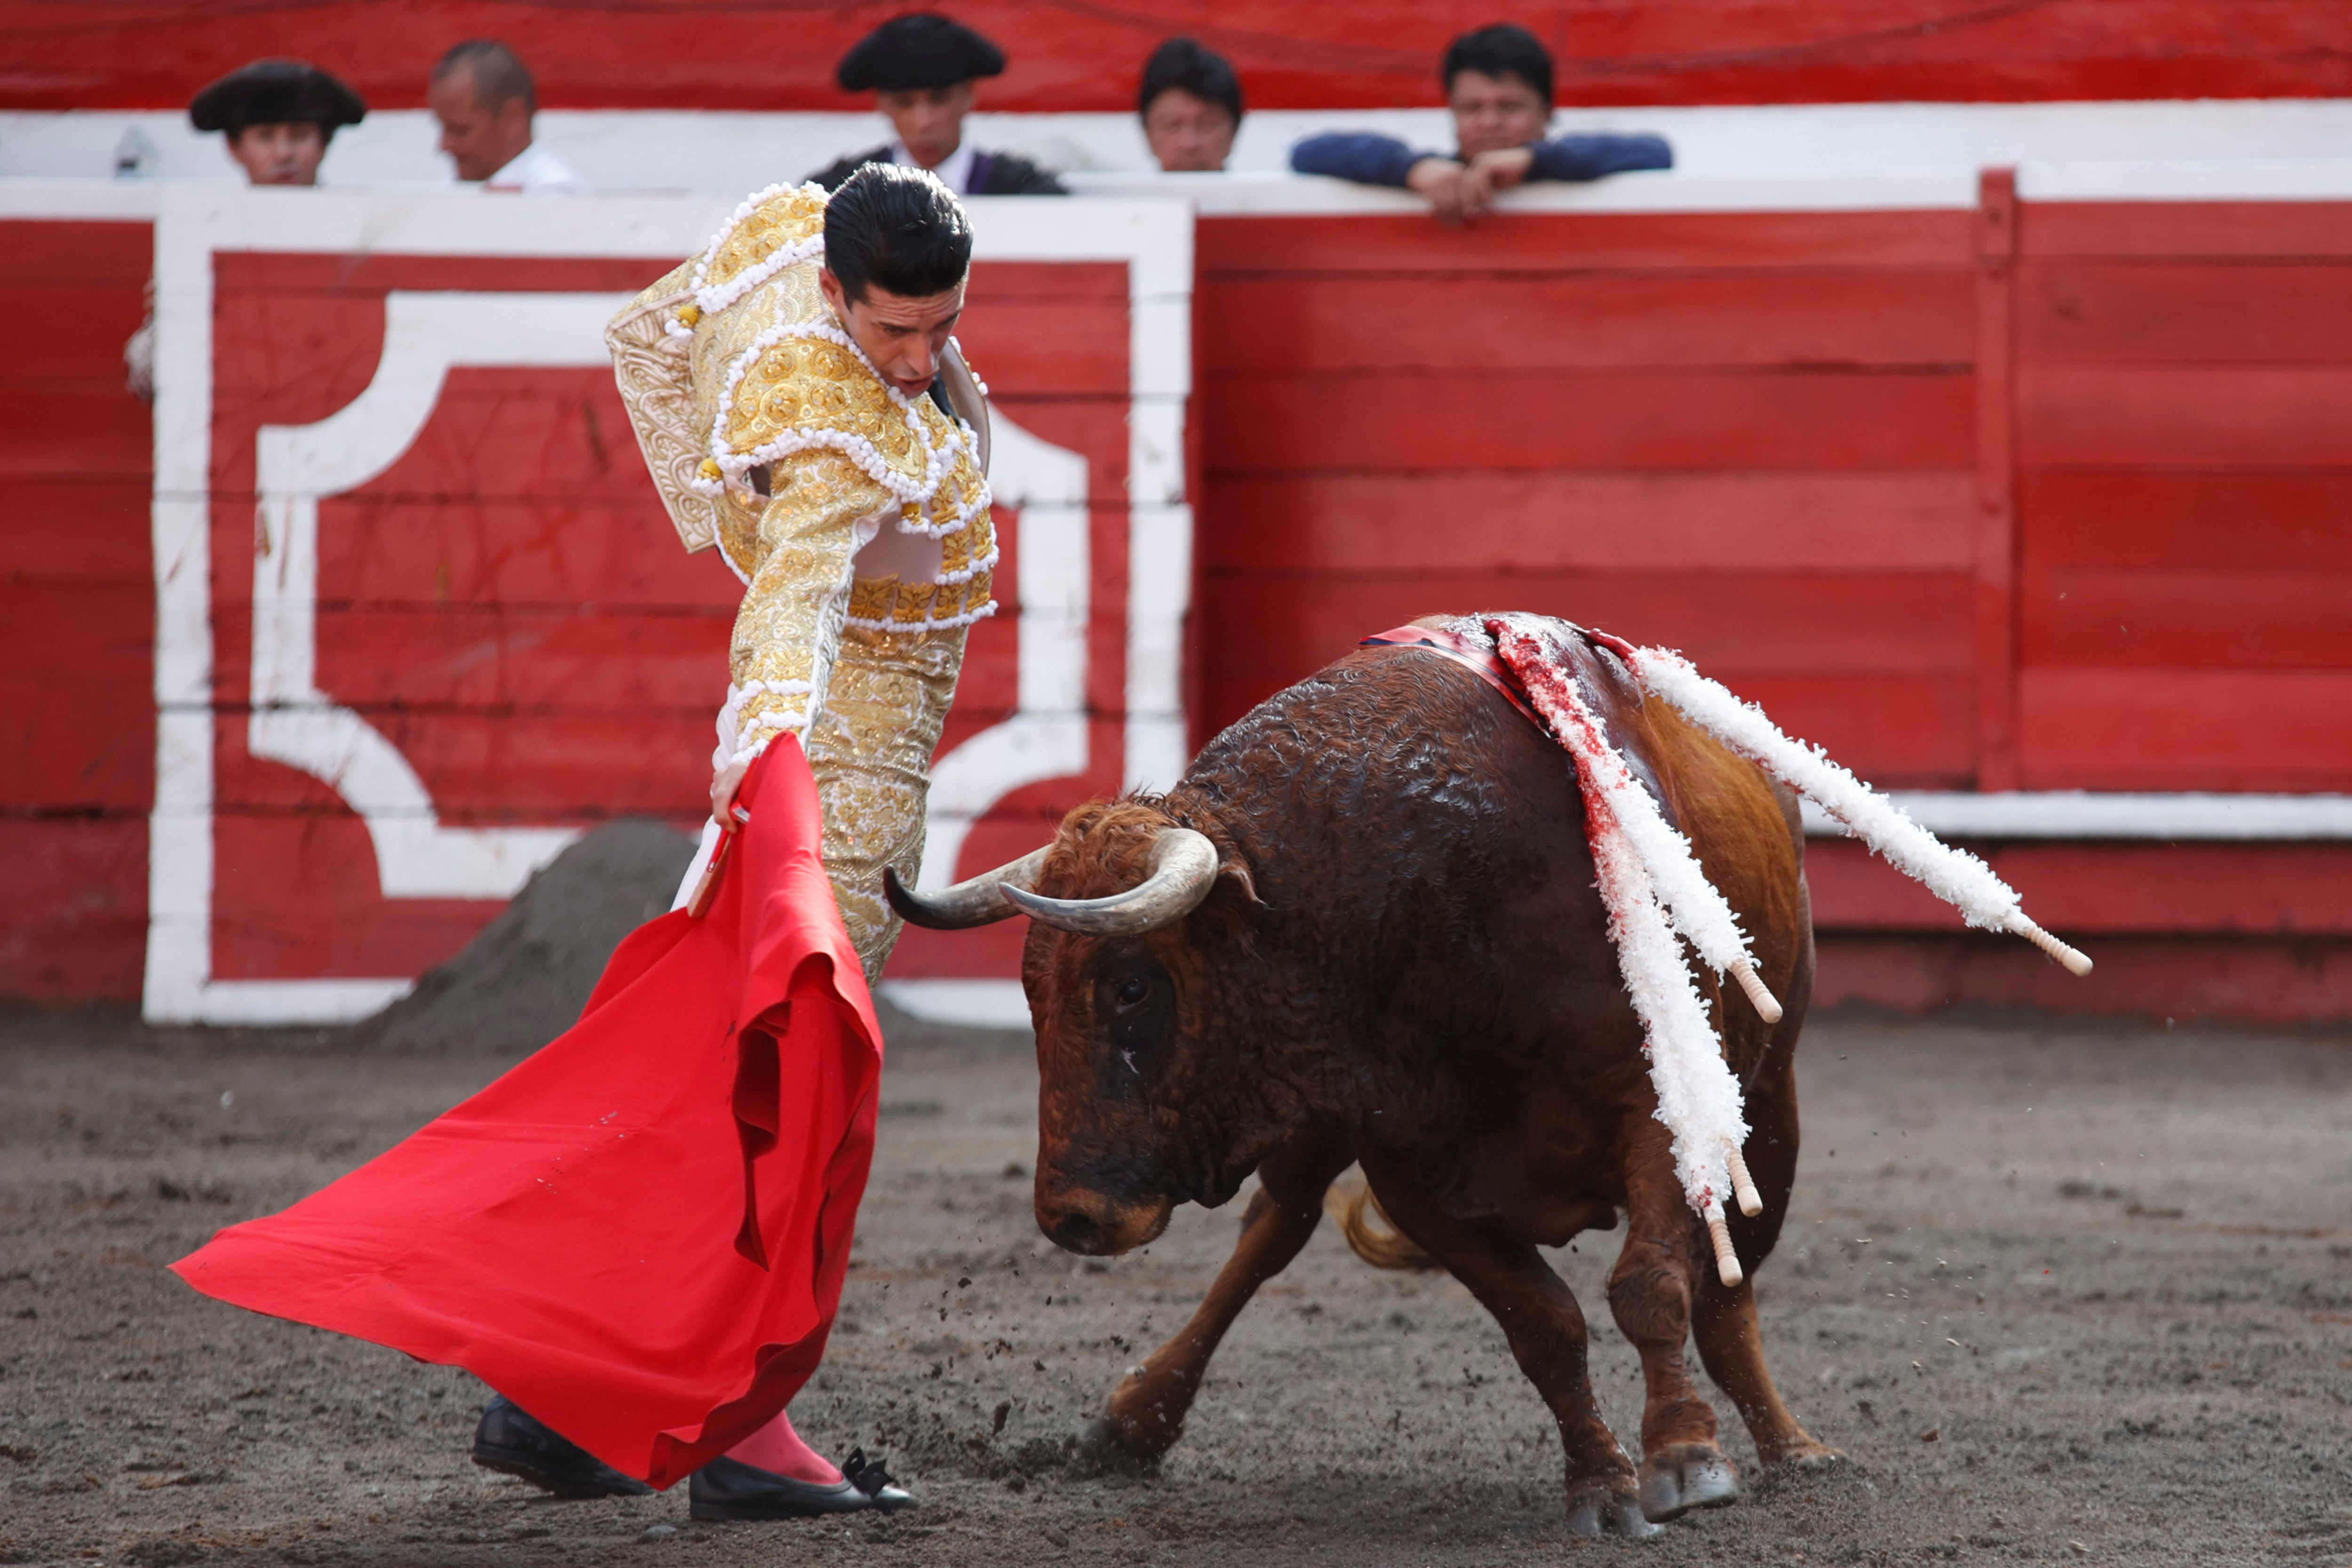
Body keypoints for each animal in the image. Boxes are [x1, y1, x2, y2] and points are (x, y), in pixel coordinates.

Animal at [889, 625, 1844, 1533]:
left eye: (1131, 986)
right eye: (1030, 992)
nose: (1073, 1217)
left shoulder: (1661, 1105)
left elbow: (1652, 1285)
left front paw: (1685, 1457)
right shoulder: (1408, 1163)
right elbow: (1543, 1324)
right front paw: (1605, 1484)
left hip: (1771, 1100)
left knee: (1732, 1283)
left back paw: (1794, 1446)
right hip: (1316, 1127)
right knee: (1274, 1227)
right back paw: (1132, 1422)